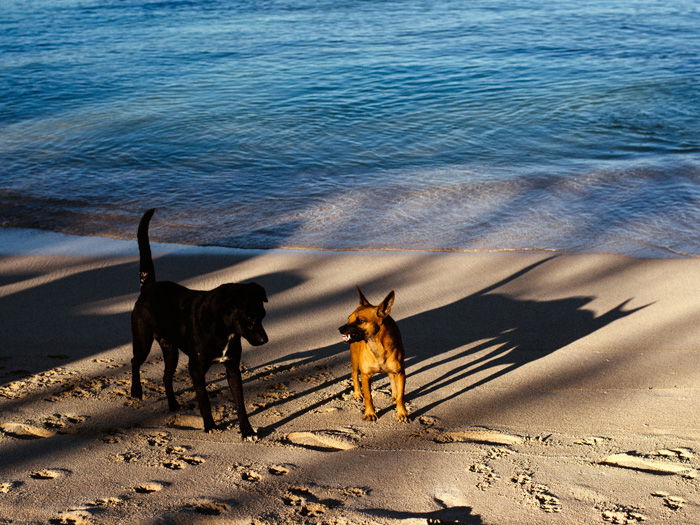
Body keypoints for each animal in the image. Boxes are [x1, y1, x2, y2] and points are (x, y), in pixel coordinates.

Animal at [129, 207, 268, 436]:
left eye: (263, 315)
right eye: (250, 318)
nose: (265, 340)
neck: (222, 327)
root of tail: (148, 287)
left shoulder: (232, 367)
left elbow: (240, 403)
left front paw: (247, 431)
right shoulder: (196, 368)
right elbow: (204, 401)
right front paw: (210, 425)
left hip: (171, 350)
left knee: (166, 377)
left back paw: (173, 404)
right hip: (143, 341)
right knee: (135, 362)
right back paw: (136, 391)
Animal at [338, 286, 408, 422]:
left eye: (360, 320)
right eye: (349, 318)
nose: (340, 329)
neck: (377, 345)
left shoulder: (400, 373)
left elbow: (401, 396)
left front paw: (402, 412)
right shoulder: (366, 376)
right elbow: (368, 397)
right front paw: (370, 413)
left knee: (391, 377)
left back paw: (394, 393)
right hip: (355, 360)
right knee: (354, 374)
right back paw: (357, 393)